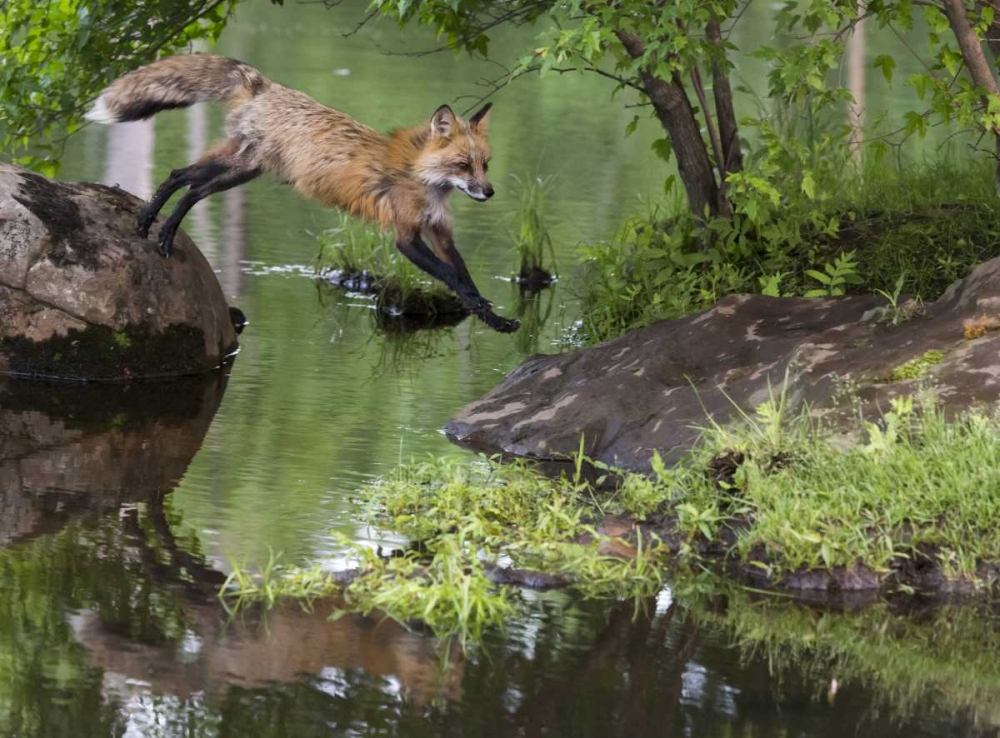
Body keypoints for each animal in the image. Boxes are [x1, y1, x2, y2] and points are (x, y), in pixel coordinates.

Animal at [87, 56, 520, 332]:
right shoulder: (406, 238)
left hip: (242, 171)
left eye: (485, 164)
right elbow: (452, 278)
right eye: (463, 166)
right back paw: (155, 226)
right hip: (239, 167)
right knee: (183, 179)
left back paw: (158, 227)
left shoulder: (440, 233)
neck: (424, 183)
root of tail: (264, 85)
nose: (489, 192)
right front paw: (481, 307)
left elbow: (464, 276)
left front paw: (495, 320)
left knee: (189, 184)